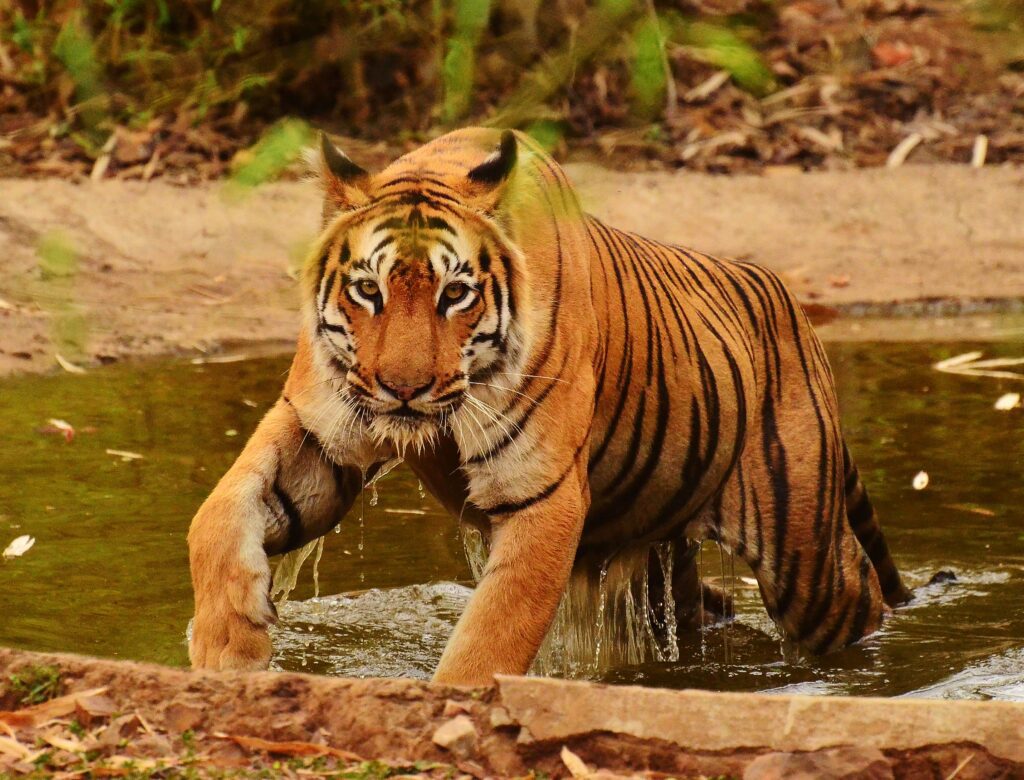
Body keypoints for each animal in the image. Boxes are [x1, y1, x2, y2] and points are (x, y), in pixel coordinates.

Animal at [188, 125, 909, 679]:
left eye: (455, 294)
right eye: (369, 290)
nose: (403, 388)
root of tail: (792, 304)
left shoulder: (541, 493)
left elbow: (491, 636)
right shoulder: (320, 431)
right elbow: (216, 515)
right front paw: (230, 650)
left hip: (805, 555)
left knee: (860, 589)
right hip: (658, 545)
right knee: (706, 607)